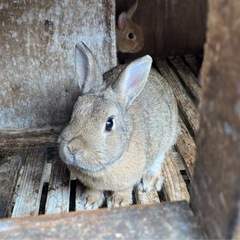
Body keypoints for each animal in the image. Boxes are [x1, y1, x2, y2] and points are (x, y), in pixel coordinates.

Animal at [57, 42, 178, 209]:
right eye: (73, 113)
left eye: (109, 123)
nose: (73, 148)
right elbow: (94, 190)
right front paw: (89, 202)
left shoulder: (128, 179)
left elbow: (124, 189)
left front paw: (118, 203)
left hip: (165, 141)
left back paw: (148, 182)